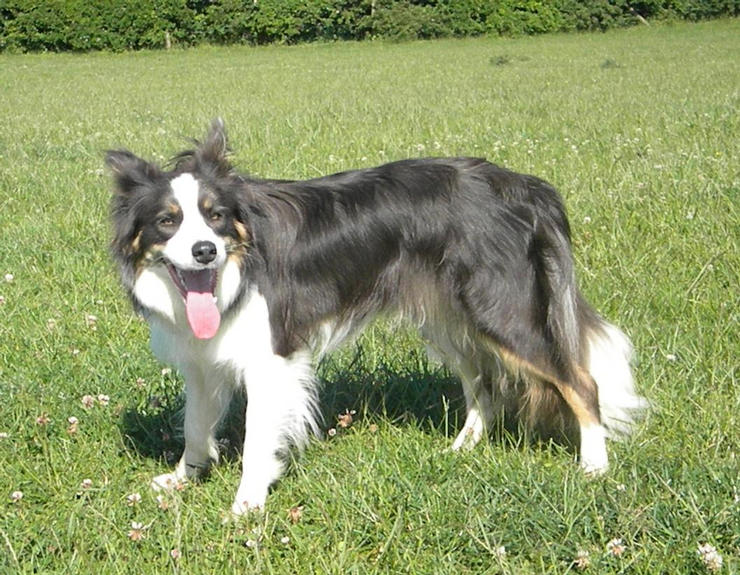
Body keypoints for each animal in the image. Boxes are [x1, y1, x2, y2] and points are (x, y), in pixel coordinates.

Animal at [107, 119, 644, 516]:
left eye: (215, 216)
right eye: (167, 221)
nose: (204, 251)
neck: (236, 267)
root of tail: (524, 187)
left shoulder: (270, 359)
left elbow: (259, 438)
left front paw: (246, 506)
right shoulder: (203, 360)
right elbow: (196, 426)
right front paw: (182, 479)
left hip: (501, 309)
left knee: (581, 381)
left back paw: (594, 467)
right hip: (449, 317)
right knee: (482, 378)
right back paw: (463, 448)